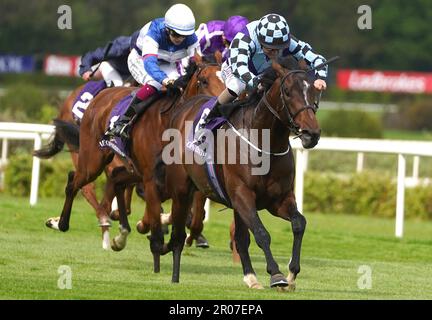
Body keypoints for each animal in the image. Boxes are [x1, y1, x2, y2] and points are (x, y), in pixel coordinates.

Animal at [52, 54, 224, 270]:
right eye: (204, 81)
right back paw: (61, 222)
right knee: (75, 181)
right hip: (93, 159)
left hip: (130, 169)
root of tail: (101, 95)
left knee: (116, 179)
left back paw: (119, 234)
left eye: (226, 78)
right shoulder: (151, 178)